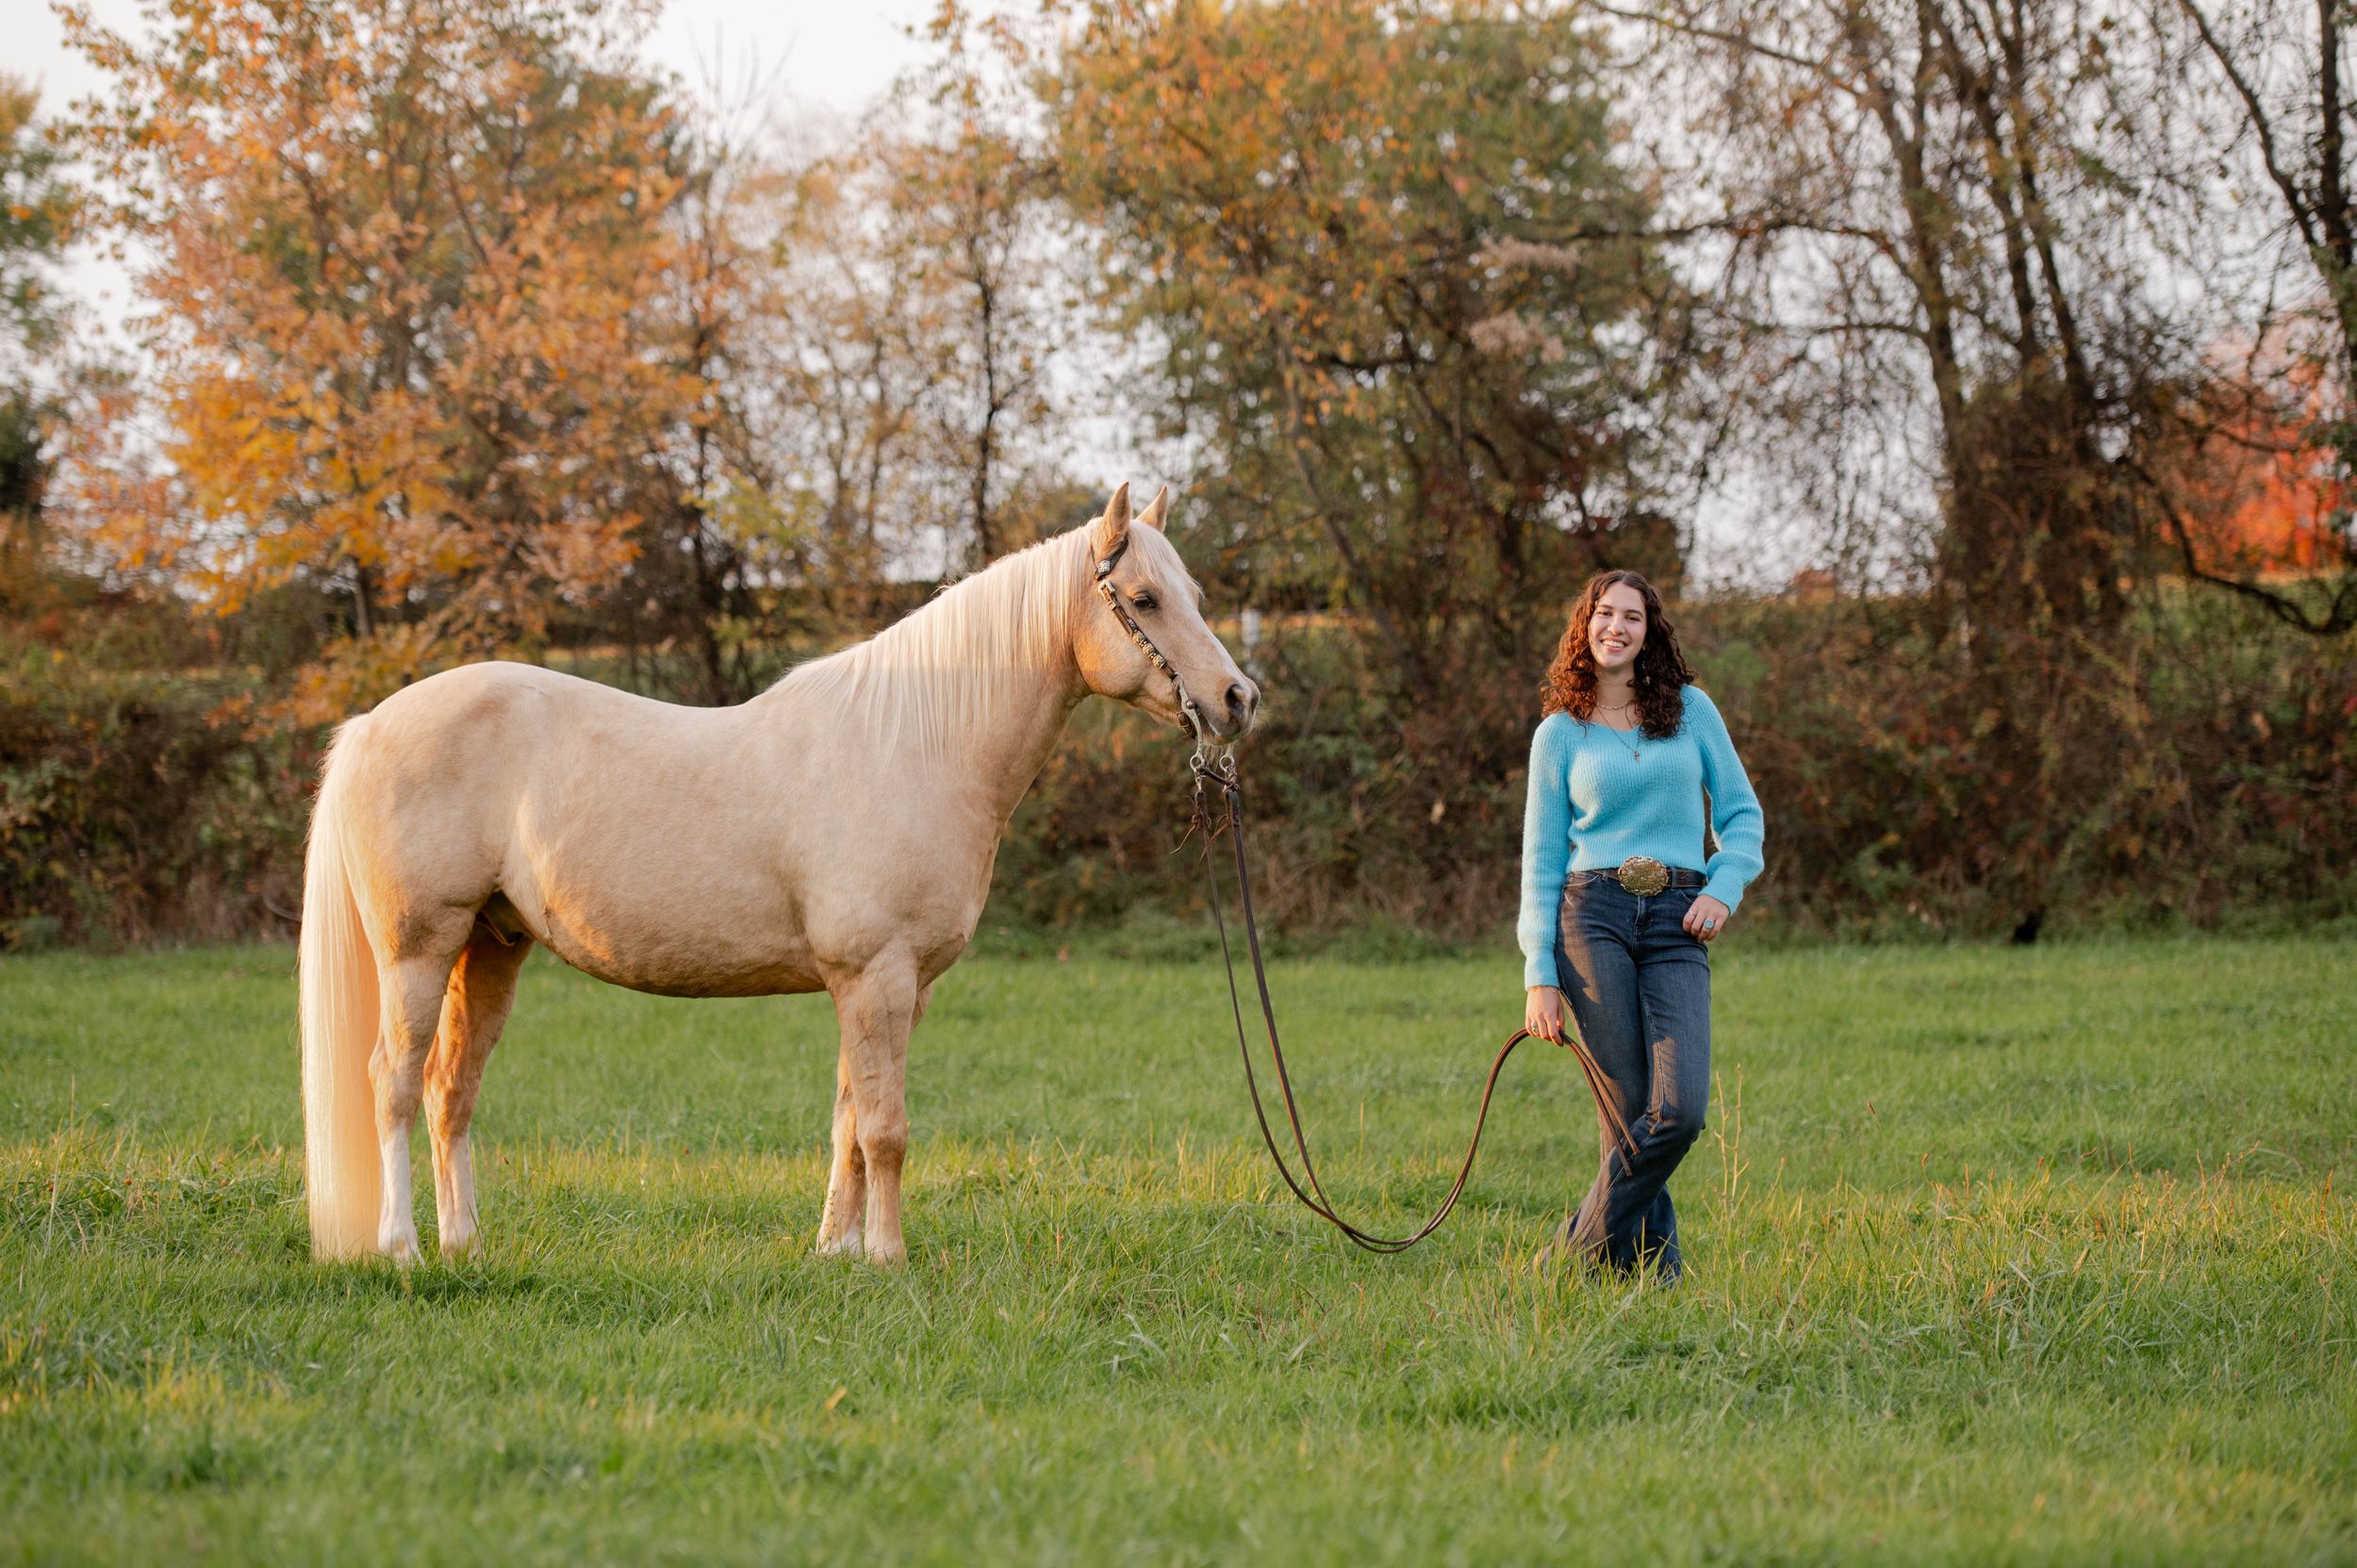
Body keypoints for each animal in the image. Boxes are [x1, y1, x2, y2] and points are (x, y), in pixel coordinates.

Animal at [299, 483, 1257, 1266]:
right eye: (1144, 599)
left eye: (1197, 597)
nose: (1237, 699)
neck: (915, 746)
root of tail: (369, 723)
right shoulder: (876, 975)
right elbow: (886, 1128)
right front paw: (888, 1257)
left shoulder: (883, 986)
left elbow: (848, 1123)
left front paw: (837, 1249)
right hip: (420, 949)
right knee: (392, 1082)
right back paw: (402, 1248)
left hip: (490, 947)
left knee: (449, 1091)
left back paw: (464, 1243)